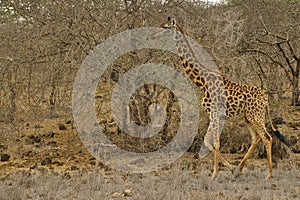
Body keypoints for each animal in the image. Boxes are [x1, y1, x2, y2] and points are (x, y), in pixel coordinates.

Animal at [161, 16, 290, 180]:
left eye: (165, 27)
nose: (156, 33)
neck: (202, 81)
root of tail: (266, 99)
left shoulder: (215, 112)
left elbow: (215, 142)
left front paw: (215, 174)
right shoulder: (214, 114)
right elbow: (207, 141)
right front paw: (229, 168)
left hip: (256, 115)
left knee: (267, 137)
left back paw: (268, 175)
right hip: (247, 117)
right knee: (256, 138)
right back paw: (239, 169)